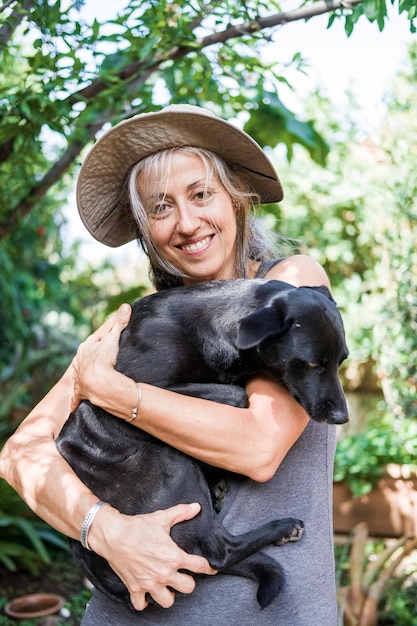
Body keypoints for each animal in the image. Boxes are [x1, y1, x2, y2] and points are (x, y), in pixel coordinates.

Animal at [56, 280, 348, 608]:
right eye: (311, 363)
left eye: (342, 360)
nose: (342, 417)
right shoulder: (134, 389)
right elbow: (236, 393)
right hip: (170, 461)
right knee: (218, 552)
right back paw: (281, 527)